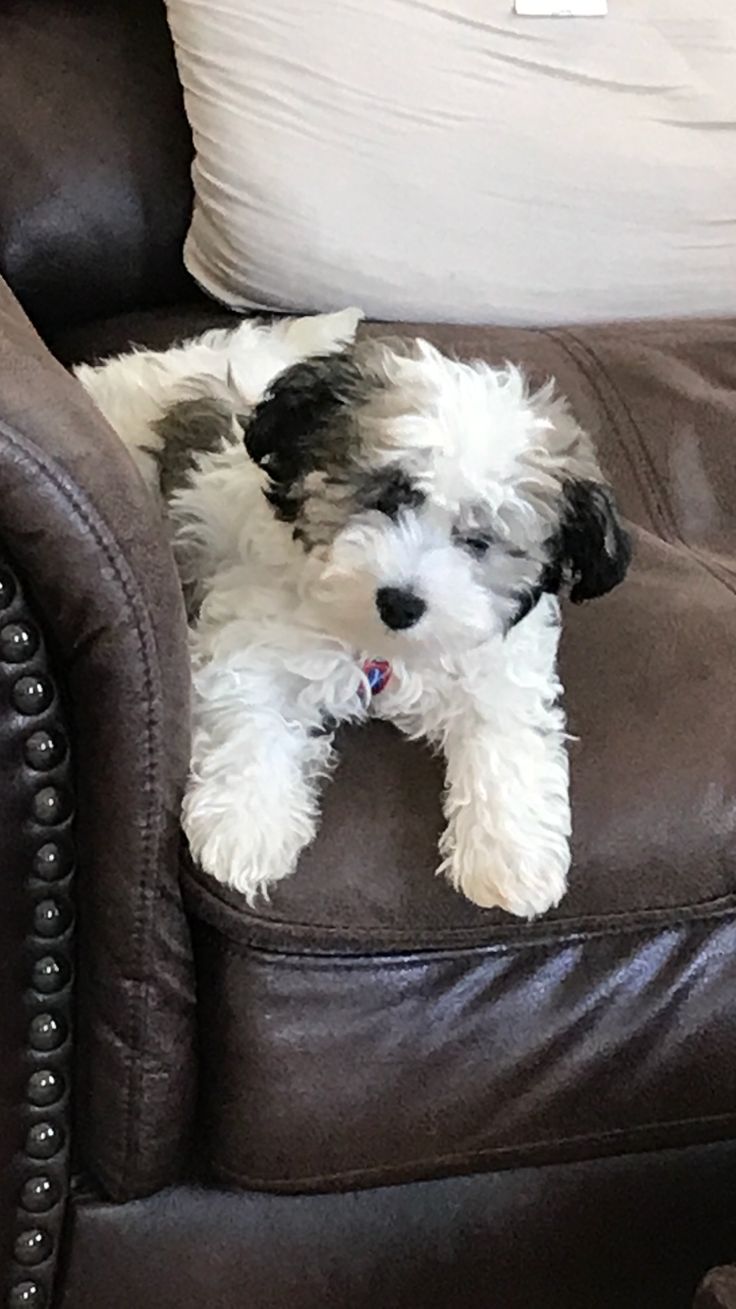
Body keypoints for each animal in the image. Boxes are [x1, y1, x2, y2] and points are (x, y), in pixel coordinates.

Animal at [78, 306, 631, 921]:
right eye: (387, 497)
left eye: (479, 540)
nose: (401, 601)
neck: (378, 645)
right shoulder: (249, 632)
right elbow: (247, 712)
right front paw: (246, 826)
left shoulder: (499, 665)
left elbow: (506, 731)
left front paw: (510, 857)